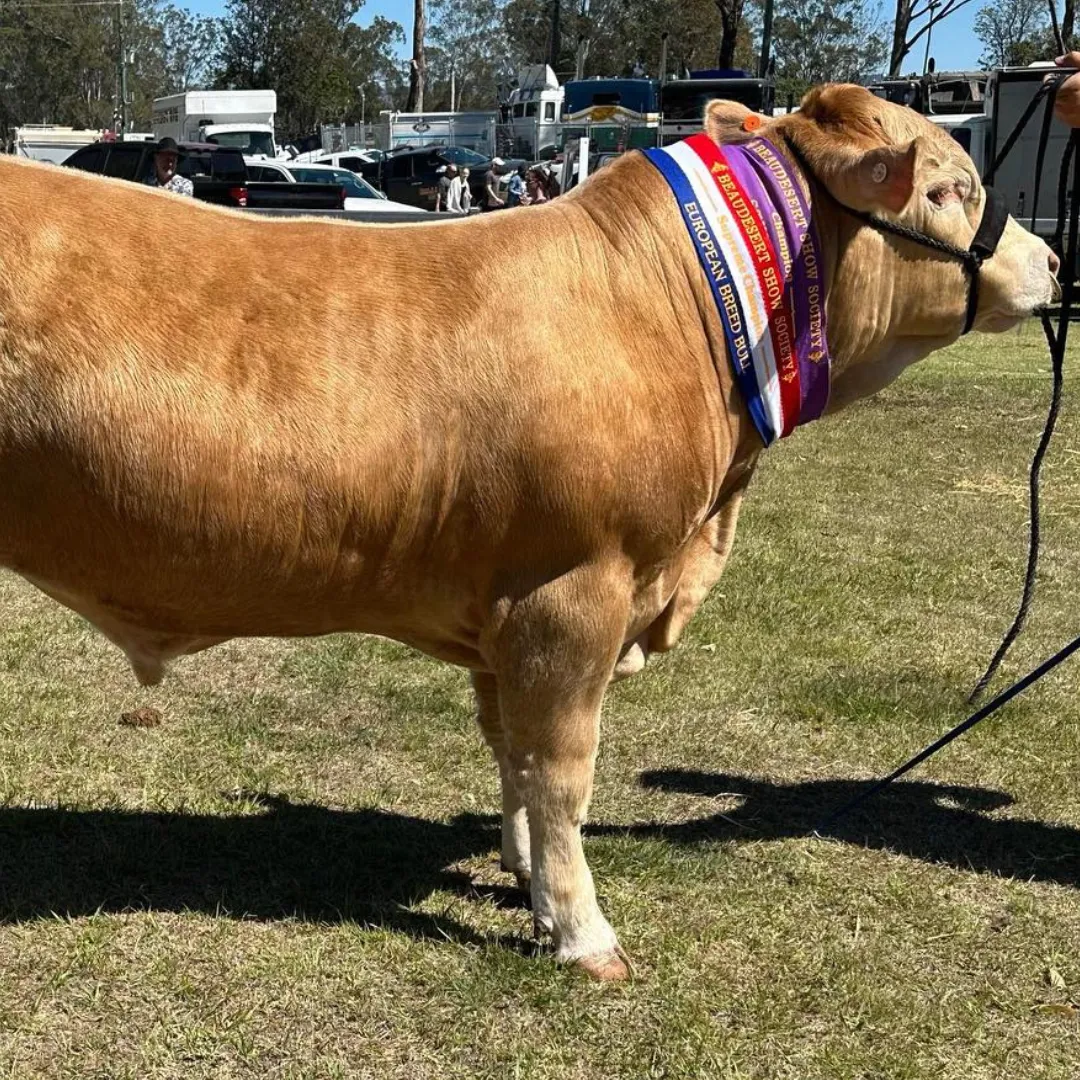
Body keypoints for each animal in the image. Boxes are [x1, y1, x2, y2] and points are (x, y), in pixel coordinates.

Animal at [0, 84, 1058, 980]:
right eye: (949, 187)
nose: (1051, 261)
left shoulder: (504, 607)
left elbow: (508, 747)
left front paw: (525, 881)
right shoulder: (573, 590)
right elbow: (559, 771)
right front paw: (584, 933)